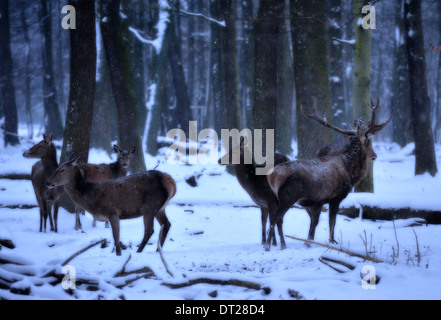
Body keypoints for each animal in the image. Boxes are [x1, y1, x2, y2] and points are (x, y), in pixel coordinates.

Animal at [45, 154, 175, 256]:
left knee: (149, 230)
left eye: (62, 170)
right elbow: (115, 237)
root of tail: (171, 183)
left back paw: (139, 251)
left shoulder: (112, 212)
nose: (48, 182)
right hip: (160, 208)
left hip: (150, 206)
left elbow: (116, 236)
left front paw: (119, 254)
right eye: (56, 168)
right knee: (166, 224)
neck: (91, 197)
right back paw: (158, 250)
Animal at [262, 96, 390, 251]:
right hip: (288, 197)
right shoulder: (336, 196)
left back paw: (282, 244)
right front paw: (331, 241)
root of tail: (272, 175)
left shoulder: (318, 201)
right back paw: (268, 245)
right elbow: (331, 221)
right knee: (275, 216)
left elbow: (319, 222)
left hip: (278, 197)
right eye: (369, 142)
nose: (374, 156)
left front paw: (312, 242)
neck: (349, 171)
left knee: (278, 218)